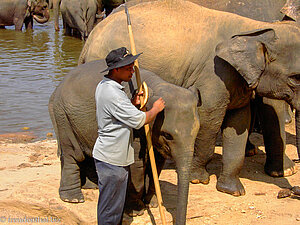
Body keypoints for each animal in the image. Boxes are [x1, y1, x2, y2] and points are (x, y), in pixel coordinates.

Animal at [48, 59, 200, 221]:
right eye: (167, 135)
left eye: (197, 131)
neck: (158, 84)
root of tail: (56, 90)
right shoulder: (136, 129)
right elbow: (137, 165)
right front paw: (136, 211)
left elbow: (157, 163)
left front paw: (152, 204)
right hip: (62, 117)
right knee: (73, 154)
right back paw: (73, 198)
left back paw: (92, 186)